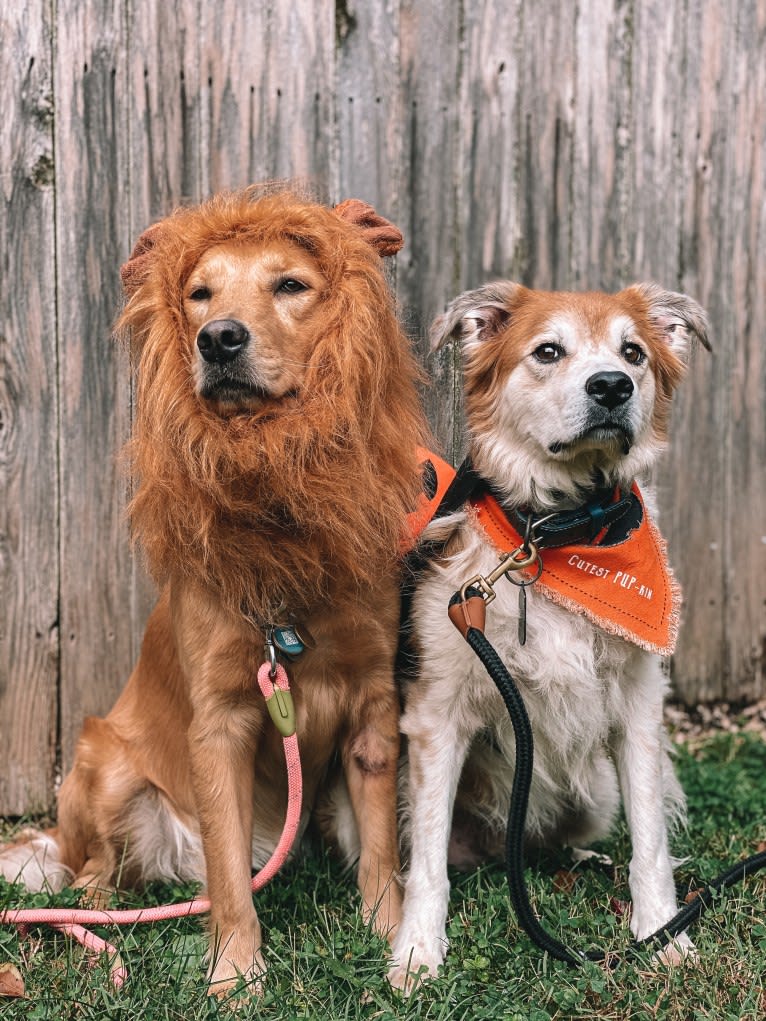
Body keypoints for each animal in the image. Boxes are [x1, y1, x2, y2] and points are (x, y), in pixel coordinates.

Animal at [392, 279, 710, 988]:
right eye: (547, 351)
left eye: (633, 352)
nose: (613, 385)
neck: (555, 535)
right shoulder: (436, 713)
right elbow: (426, 858)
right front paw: (417, 949)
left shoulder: (638, 708)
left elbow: (651, 839)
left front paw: (661, 934)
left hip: (594, 793)